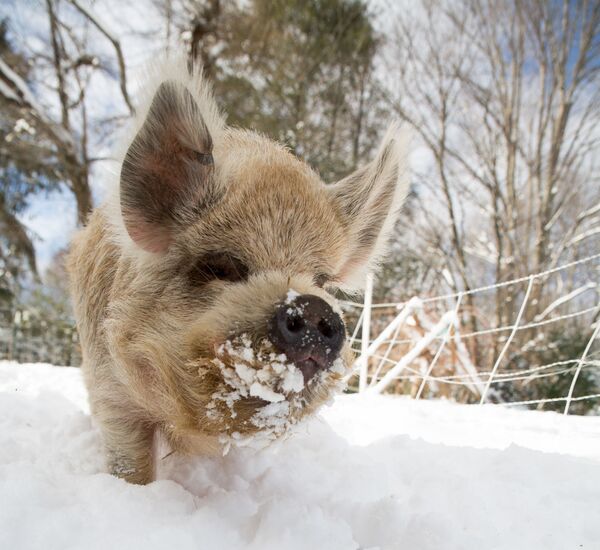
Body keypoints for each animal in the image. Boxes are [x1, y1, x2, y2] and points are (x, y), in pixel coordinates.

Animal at [68, 58, 410, 486]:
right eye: (222, 266)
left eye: (321, 281)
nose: (313, 307)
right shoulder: (110, 387)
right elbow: (129, 459)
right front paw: (132, 490)